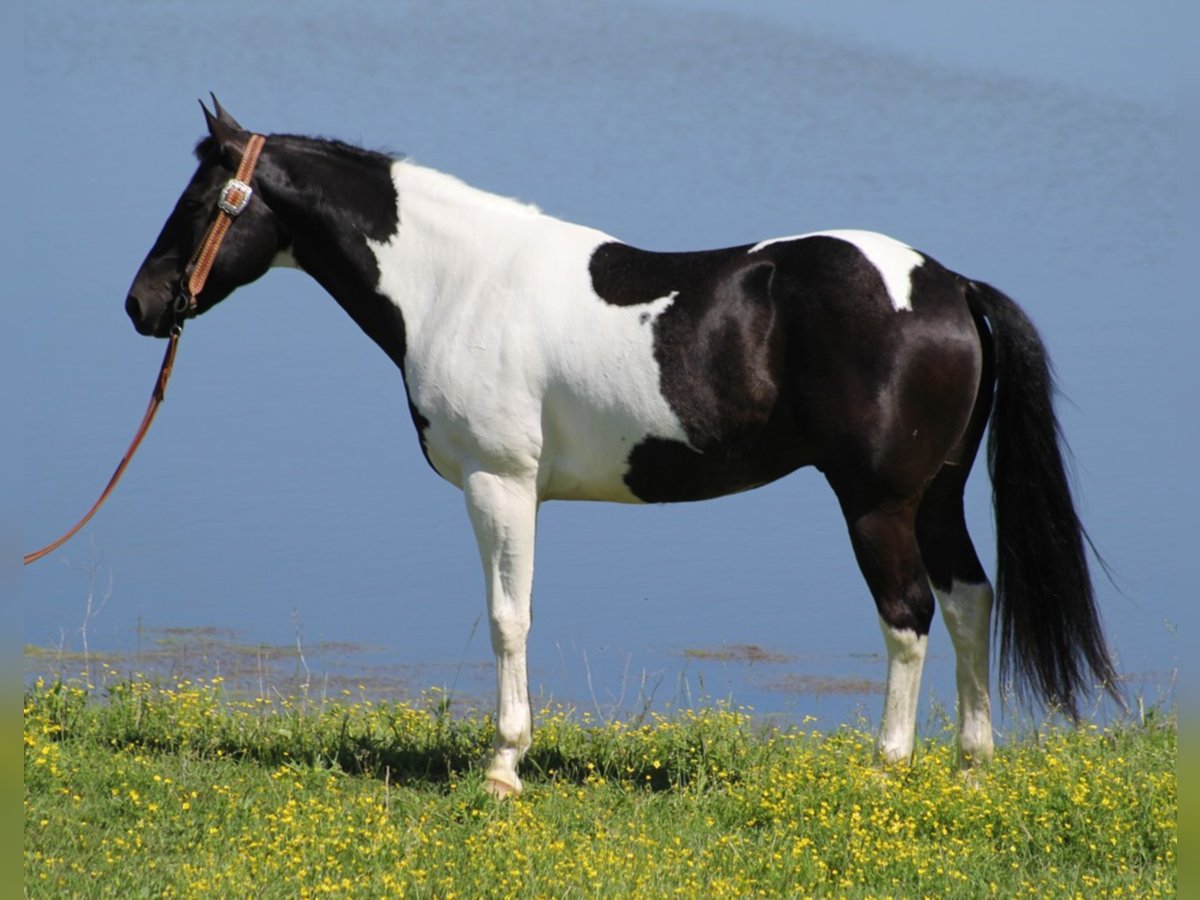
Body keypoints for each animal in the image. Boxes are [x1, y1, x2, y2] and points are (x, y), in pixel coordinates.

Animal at [126, 102, 1118, 801]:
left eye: (201, 202)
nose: (142, 304)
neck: (457, 283)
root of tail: (949, 286)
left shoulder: (499, 484)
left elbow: (508, 619)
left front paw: (503, 767)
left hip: (877, 503)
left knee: (908, 615)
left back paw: (886, 770)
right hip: (937, 495)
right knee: (969, 602)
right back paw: (971, 769)